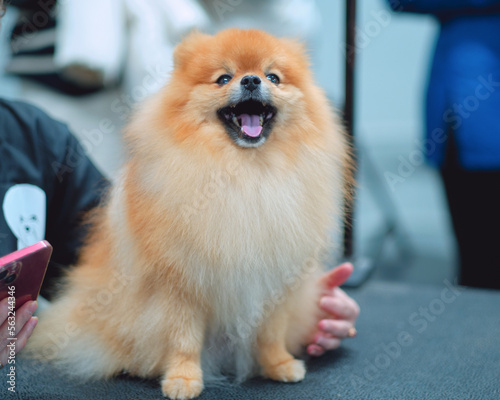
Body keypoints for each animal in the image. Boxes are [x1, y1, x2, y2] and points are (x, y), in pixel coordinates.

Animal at [26, 29, 352, 398]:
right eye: (223, 78)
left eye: (273, 77)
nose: (251, 80)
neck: (246, 171)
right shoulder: (180, 282)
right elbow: (184, 338)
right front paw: (183, 379)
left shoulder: (276, 278)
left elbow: (271, 331)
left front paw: (279, 364)